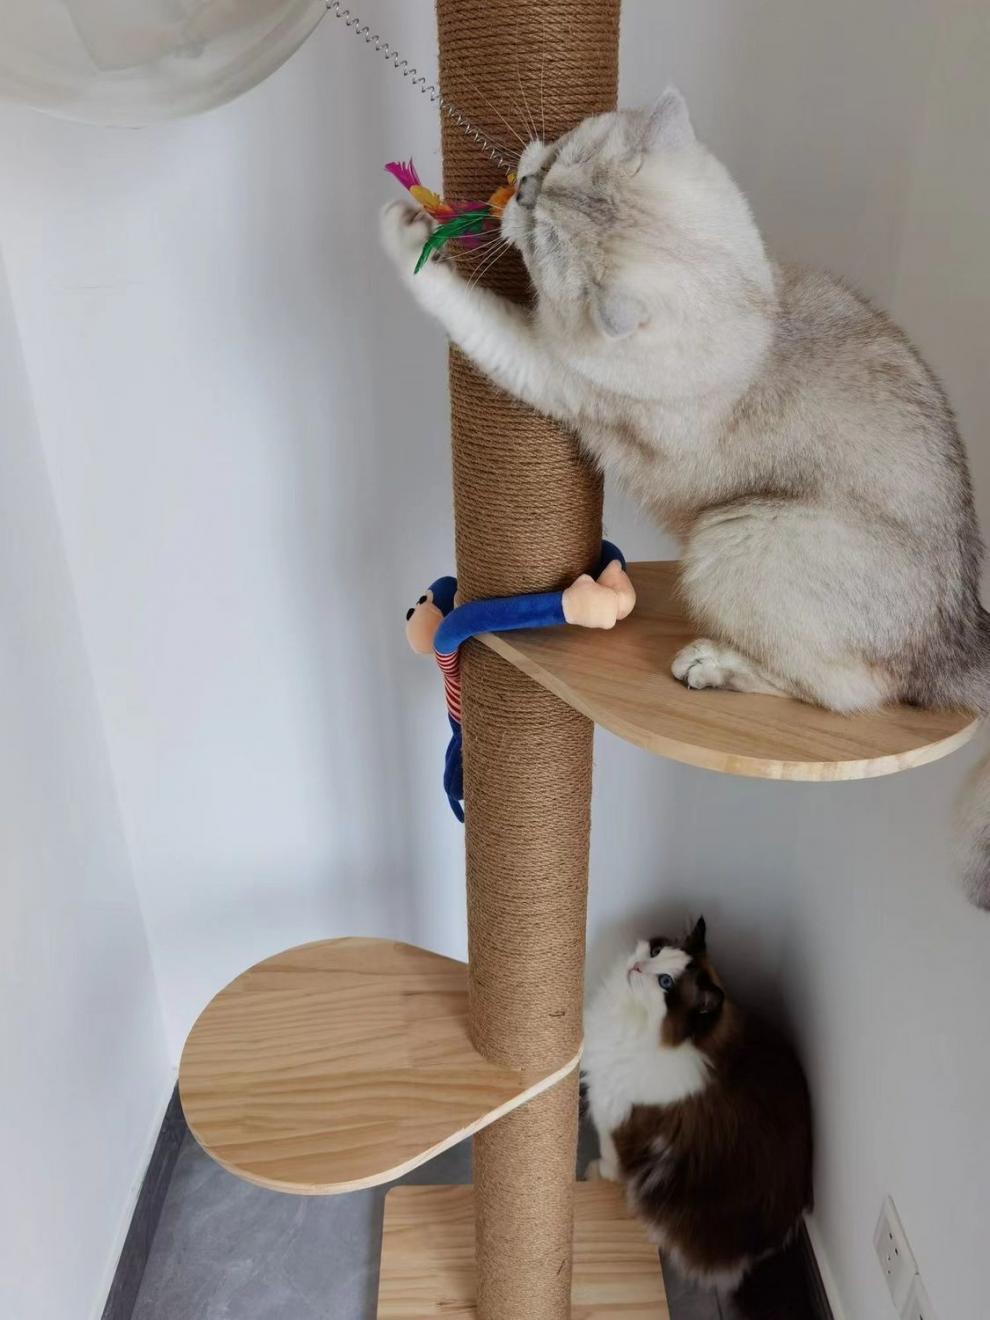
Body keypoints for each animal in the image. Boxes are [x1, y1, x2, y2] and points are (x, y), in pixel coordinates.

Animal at [380, 89, 990, 905]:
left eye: (541, 242)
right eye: (553, 162)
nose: (524, 186)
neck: (754, 318)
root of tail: (960, 631)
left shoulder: (545, 366)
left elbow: (462, 305)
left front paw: (406, 231)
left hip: (732, 537)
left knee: (852, 694)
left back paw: (709, 666)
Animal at [582, 917, 813, 1291]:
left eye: (665, 983)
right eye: (656, 951)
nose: (637, 966)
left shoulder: (617, 1117)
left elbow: (609, 1161)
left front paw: (593, 1176)